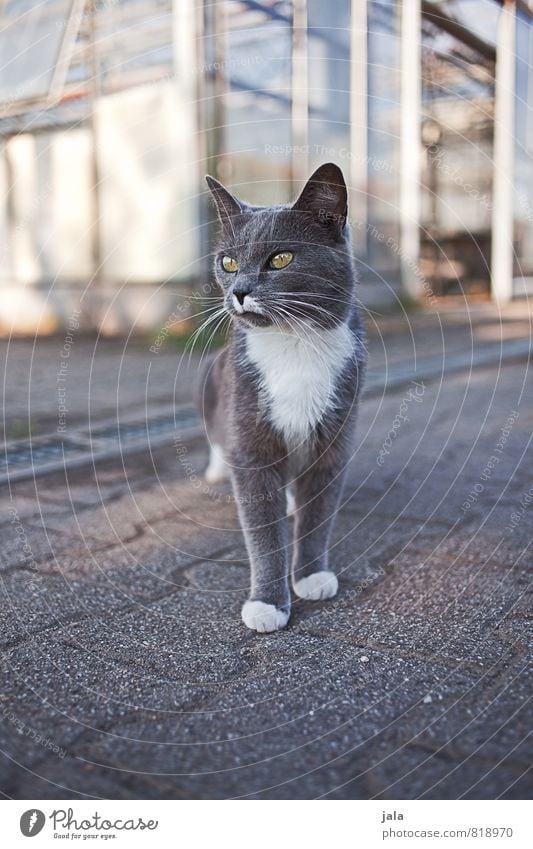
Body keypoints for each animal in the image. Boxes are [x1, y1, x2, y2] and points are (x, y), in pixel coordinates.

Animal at [198, 164, 366, 628]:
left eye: (281, 259)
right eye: (228, 262)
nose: (239, 290)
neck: (292, 345)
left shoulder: (333, 440)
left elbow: (317, 516)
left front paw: (311, 577)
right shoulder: (251, 441)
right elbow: (262, 531)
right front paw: (267, 604)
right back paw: (217, 470)